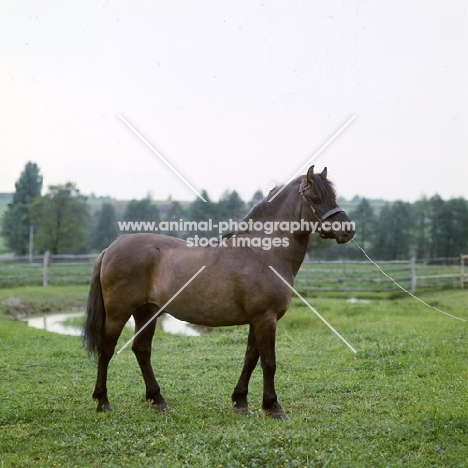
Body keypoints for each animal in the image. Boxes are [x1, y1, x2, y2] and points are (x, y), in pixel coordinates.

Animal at [83, 165, 354, 420]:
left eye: (334, 196)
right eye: (316, 198)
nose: (348, 230)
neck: (262, 253)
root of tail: (110, 248)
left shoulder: (257, 319)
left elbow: (250, 359)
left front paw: (241, 402)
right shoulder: (265, 318)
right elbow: (269, 362)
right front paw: (273, 407)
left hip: (147, 312)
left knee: (142, 350)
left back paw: (158, 400)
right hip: (118, 313)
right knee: (106, 350)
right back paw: (103, 401)